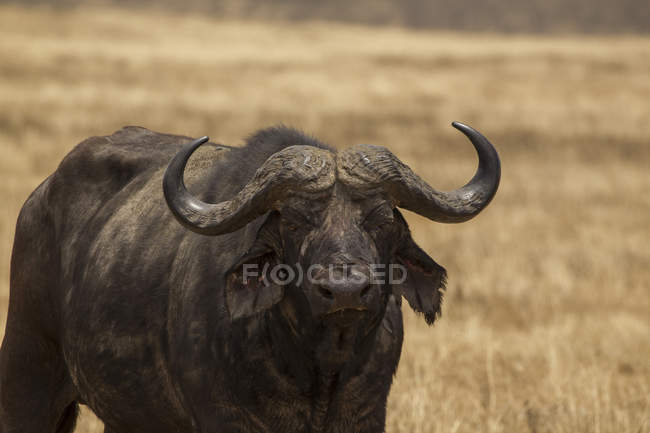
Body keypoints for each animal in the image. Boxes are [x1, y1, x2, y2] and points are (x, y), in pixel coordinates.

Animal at [1, 122, 496, 432]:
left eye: (381, 218)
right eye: (295, 220)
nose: (345, 290)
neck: (317, 367)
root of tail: (39, 198)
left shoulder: (367, 417)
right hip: (26, 375)